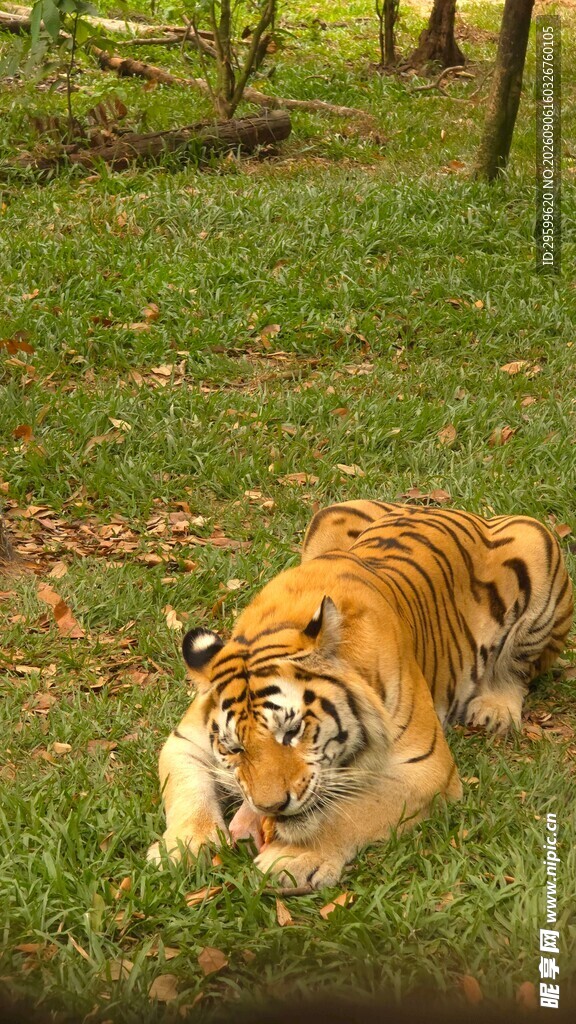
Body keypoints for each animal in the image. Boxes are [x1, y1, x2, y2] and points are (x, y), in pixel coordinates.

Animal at [147, 500, 573, 888]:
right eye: (235, 748)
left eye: (293, 732)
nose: (270, 806)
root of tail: (441, 506)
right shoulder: (184, 740)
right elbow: (187, 794)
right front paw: (182, 846)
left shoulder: (426, 768)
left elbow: (351, 811)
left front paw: (296, 858)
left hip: (537, 544)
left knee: (516, 669)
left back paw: (494, 710)